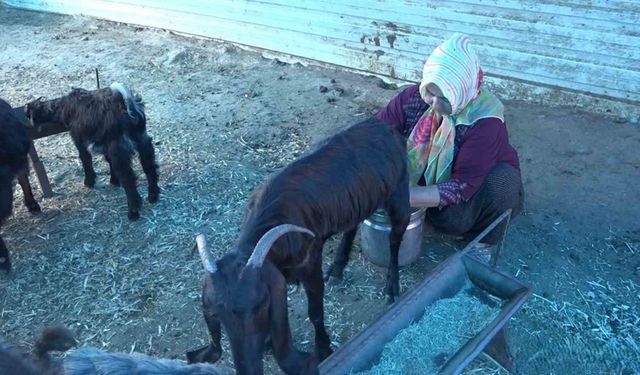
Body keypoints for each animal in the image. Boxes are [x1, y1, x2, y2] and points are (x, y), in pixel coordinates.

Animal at [25, 82, 160, 220]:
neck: (64, 106)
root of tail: (126, 105)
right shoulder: (105, 144)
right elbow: (108, 161)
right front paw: (114, 181)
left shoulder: (80, 140)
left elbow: (86, 160)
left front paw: (89, 182)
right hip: (143, 141)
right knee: (150, 168)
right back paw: (153, 196)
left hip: (119, 150)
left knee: (128, 178)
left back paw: (133, 212)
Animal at [190, 118, 410, 375]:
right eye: (218, 315)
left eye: (261, 305)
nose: (249, 368)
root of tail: (384, 126)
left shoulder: (310, 264)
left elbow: (315, 312)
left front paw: (324, 349)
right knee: (352, 227)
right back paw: (337, 268)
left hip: (399, 194)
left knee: (395, 238)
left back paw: (391, 286)